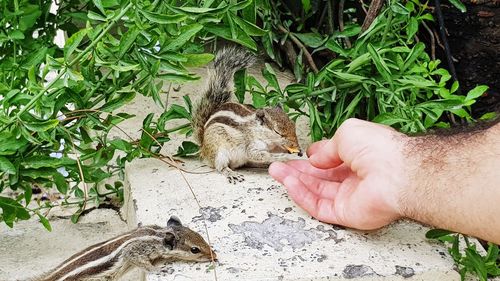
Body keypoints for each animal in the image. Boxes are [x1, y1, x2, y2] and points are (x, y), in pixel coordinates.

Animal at [27, 217, 215, 280]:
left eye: (201, 236)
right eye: (195, 250)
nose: (214, 256)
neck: (157, 234)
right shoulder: (136, 250)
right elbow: (137, 259)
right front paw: (157, 268)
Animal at [191, 47, 300, 183]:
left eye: (293, 125)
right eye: (277, 132)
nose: (296, 145)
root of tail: (203, 147)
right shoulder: (251, 145)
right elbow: (258, 154)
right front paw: (282, 156)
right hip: (219, 151)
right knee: (220, 166)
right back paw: (231, 173)